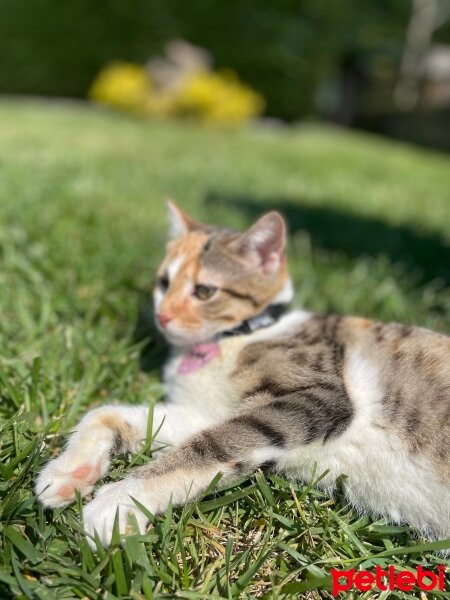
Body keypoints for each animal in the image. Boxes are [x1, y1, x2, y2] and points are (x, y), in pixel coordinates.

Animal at [36, 203, 450, 548]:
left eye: (205, 291)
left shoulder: (314, 397)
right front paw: (70, 472)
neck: (237, 338)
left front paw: (117, 503)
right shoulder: (206, 411)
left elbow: (210, 445)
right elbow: (109, 414)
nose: (162, 316)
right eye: (163, 283)